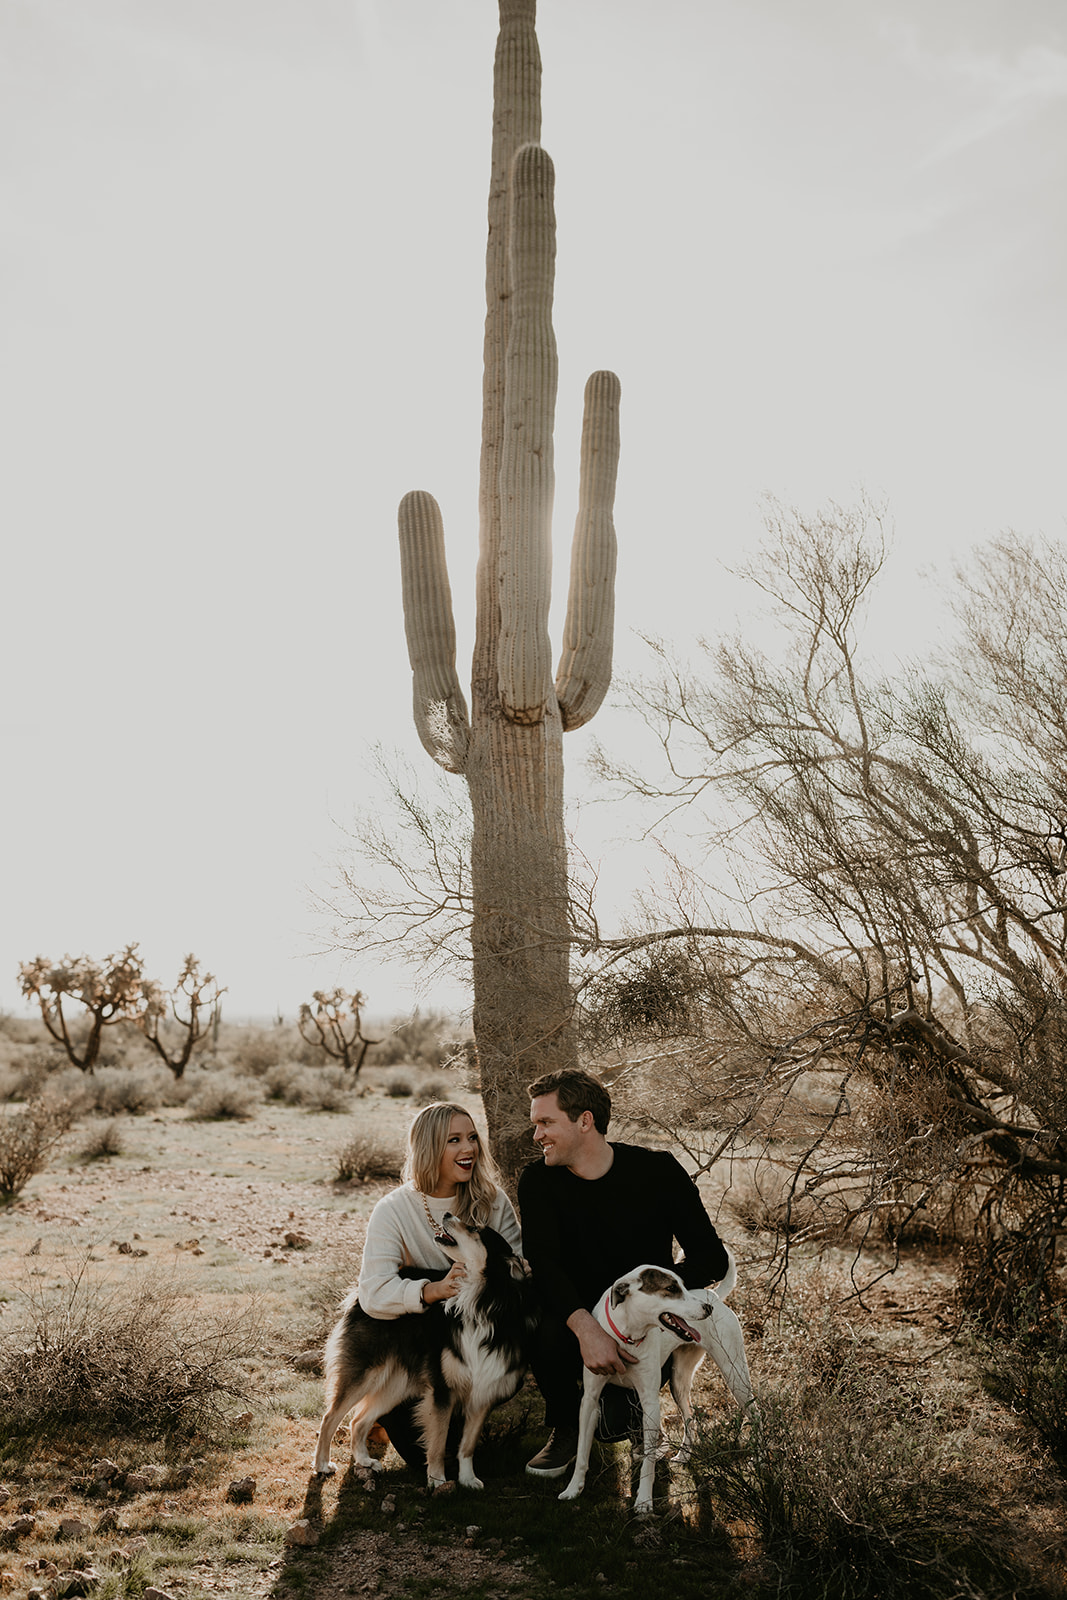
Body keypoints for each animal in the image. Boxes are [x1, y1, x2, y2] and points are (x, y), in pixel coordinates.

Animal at [313, 1216, 537, 1491]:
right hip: (365, 1374)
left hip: (397, 1384)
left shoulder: (484, 1392)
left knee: (358, 1421)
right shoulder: (443, 1391)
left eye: (474, 1228)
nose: (448, 1215)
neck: (482, 1304)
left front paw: (467, 1478)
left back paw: (364, 1460)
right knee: (330, 1418)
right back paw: (322, 1465)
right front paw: (438, 1481)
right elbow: (439, 1442)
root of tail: (360, 1294)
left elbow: (468, 1445)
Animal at [559, 1248, 751, 1510]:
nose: (706, 1308)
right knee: (689, 1416)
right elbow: (581, 1450)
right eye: (670, 1288)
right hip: (679, 1382)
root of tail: (714, 1295)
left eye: (683, 1286)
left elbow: (648, 1463)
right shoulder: (589, 1400)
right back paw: (684, 1455)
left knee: (756, 1412)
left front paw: (644, 1500)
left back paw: (761, 1456)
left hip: (735, 1375)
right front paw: (573, 1488)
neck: (627, 1336)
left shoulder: (650, 1403)